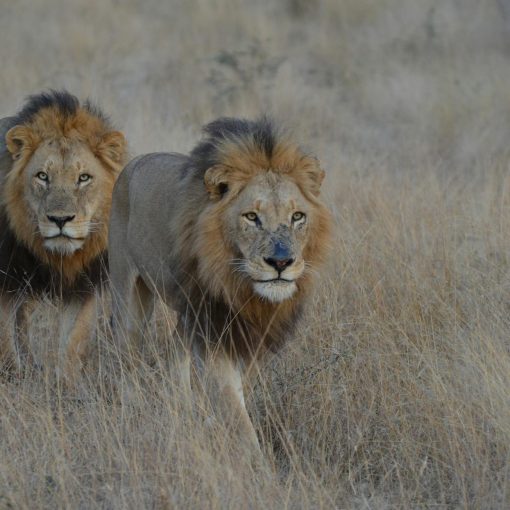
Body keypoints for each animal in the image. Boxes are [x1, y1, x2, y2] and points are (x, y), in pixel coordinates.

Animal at [0, 90, 127, 378]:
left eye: (83, 178)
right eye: (42, 176)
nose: (60, 219)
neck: (56, 257)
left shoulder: (85, 284)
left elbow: (72, 342)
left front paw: (66, 382)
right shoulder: (5, 280)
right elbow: (5, 342)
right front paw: (13, 376)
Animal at [110, 116, 332, 450]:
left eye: (297, 217)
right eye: (252, 217)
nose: (281, 262)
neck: (242, 288)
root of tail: (133, 162)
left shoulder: (247, 334)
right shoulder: (214, 331)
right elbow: (236, 415)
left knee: (175, 351)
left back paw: (182, 410)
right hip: (130, 296)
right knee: (127, 354)